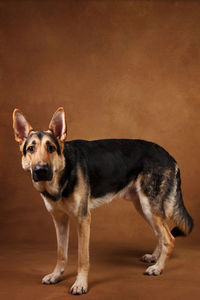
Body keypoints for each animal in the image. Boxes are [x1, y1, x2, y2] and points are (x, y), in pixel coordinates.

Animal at [12, 106, 194, 294]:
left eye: (51, 148)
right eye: (31, 149)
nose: (41, 170)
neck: (63, 173)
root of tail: (170, 156)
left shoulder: (83, 220)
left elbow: (82, 258)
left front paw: (80, 284)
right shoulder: (60, 220)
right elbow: (61, 253)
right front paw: (56, 275)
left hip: (149, 207)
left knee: (169, 238)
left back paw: (158, 268)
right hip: (144, 208)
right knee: (160, 233)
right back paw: (155, 258)